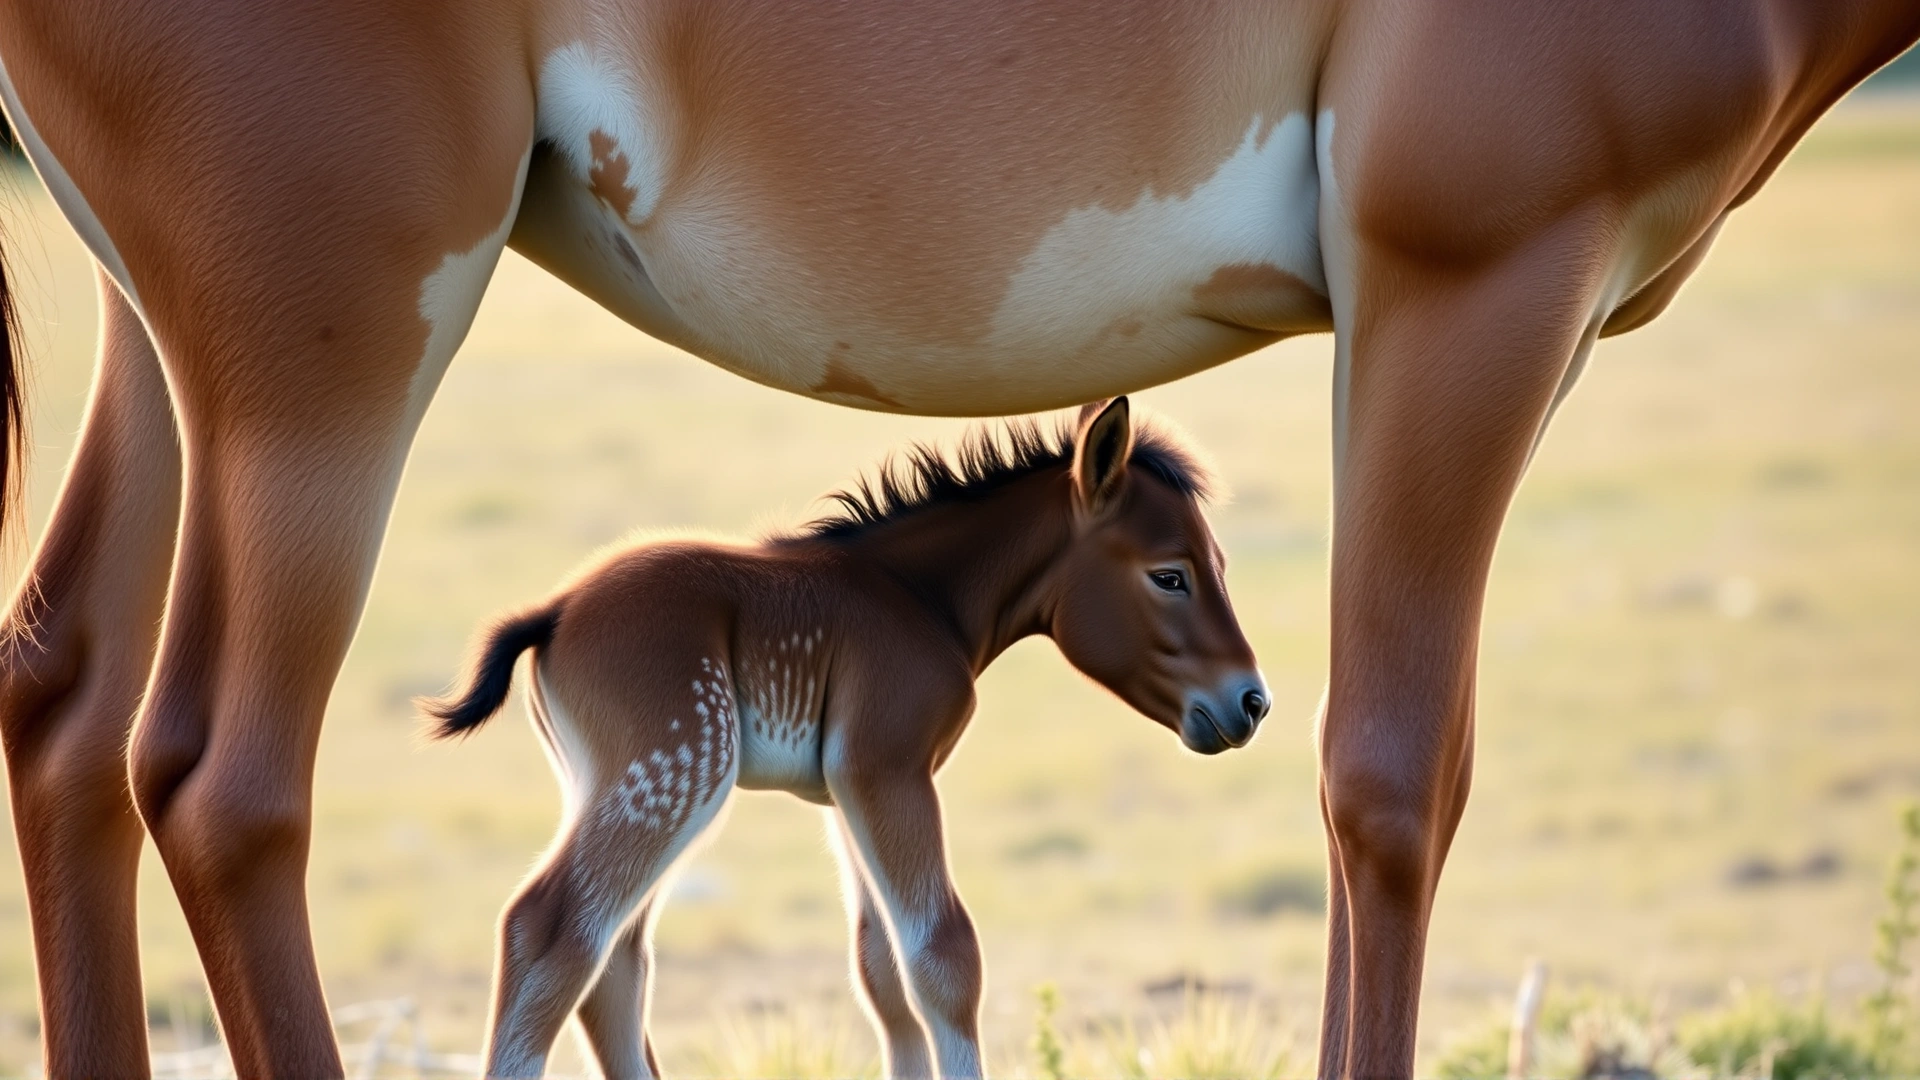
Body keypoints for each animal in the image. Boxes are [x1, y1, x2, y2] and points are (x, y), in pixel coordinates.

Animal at [421, 397, 1266, 1078]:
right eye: (1170, 575)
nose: (1251, 702)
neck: (922, 599)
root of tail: (554, 611)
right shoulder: (886, 772)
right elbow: (944, 958)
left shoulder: (849, 793)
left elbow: (882, 972)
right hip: (677, 777)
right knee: (551, 930)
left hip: (622, 787)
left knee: (616, 961)